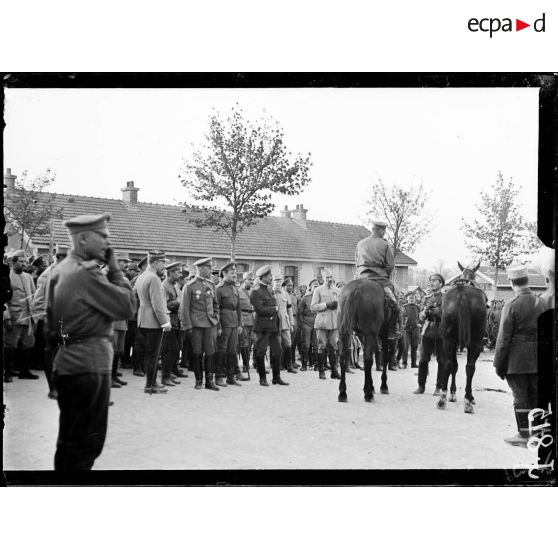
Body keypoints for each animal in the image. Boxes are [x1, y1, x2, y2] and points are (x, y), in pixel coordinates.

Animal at [440, 264, 488, 416]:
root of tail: (462, 295)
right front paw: (467, 396)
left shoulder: (454, 343)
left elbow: (454, 366)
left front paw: (453, 393)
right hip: (474, 343)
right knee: (468, 367)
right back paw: (467, 400)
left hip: (448, 341)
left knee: (449, 365)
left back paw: (442, 398)